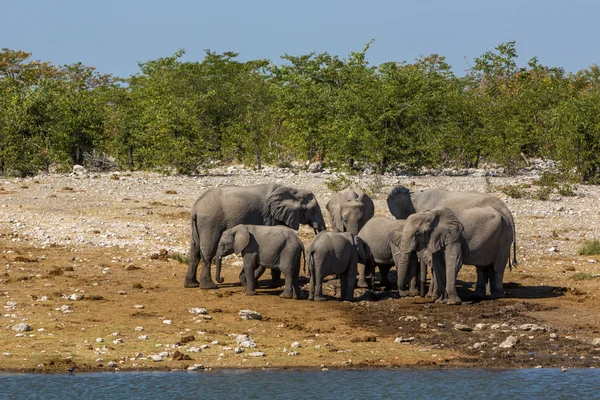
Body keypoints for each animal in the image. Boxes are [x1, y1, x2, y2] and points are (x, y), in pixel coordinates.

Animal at [185, 183, 326, 290]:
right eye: (313, 210)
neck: (293, 190)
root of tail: (196, 207)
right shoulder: (270, 216)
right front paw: (275, 284)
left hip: (198, 224)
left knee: (195, 251)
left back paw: (192, 284)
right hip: (210, 222)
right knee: (208, 252)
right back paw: (209, 286)